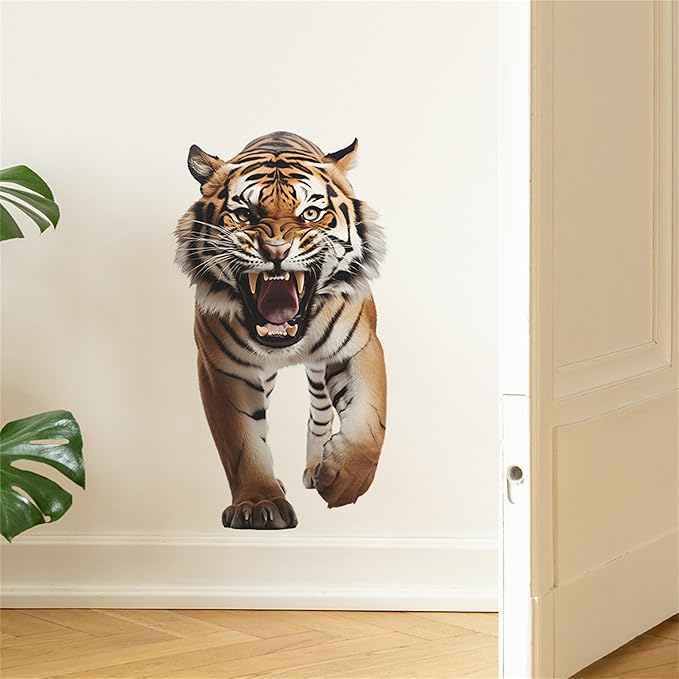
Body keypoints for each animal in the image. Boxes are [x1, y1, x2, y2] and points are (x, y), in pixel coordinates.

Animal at [175, 131, 386, 529]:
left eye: (310, 214)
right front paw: (258, 503)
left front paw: (343, 483)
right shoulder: (225, 369)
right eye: (244, 214)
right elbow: (243, 441)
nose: (275, 250)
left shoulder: (359, 349)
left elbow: (368, 425)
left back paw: (315, 467)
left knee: (320, 413)